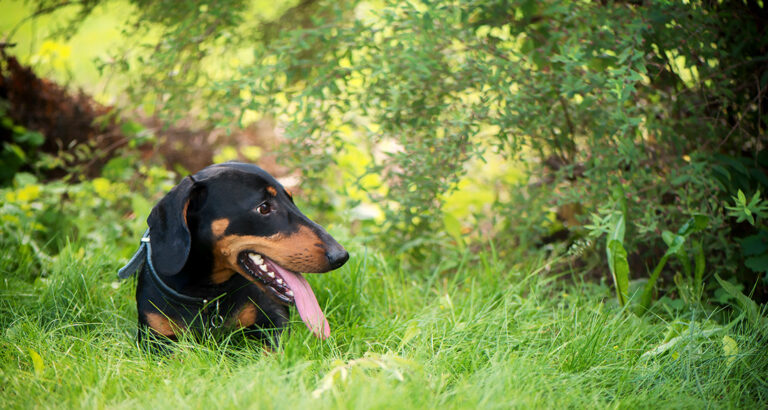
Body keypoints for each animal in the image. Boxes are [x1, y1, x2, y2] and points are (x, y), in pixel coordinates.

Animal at [117, 162, 348, 344]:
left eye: (291, 199)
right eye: (264, 208)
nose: (341, 256)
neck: (207, 295)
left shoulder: (274, 321)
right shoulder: (155, 338)